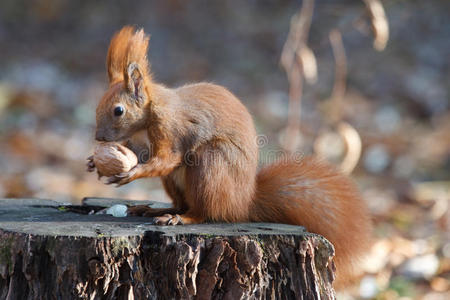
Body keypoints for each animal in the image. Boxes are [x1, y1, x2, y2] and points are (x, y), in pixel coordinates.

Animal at [86, 26, 370, 286]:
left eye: (118, 110)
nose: (99, 137)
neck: (144, 123)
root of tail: (243, 202)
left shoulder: (170, 127)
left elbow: (167, 159)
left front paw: (130, 173)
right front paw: (94, 163)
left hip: (210, 165)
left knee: (204, 211)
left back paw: (181, 218)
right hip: (179, 182)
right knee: (182, 202)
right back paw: (154, 209)